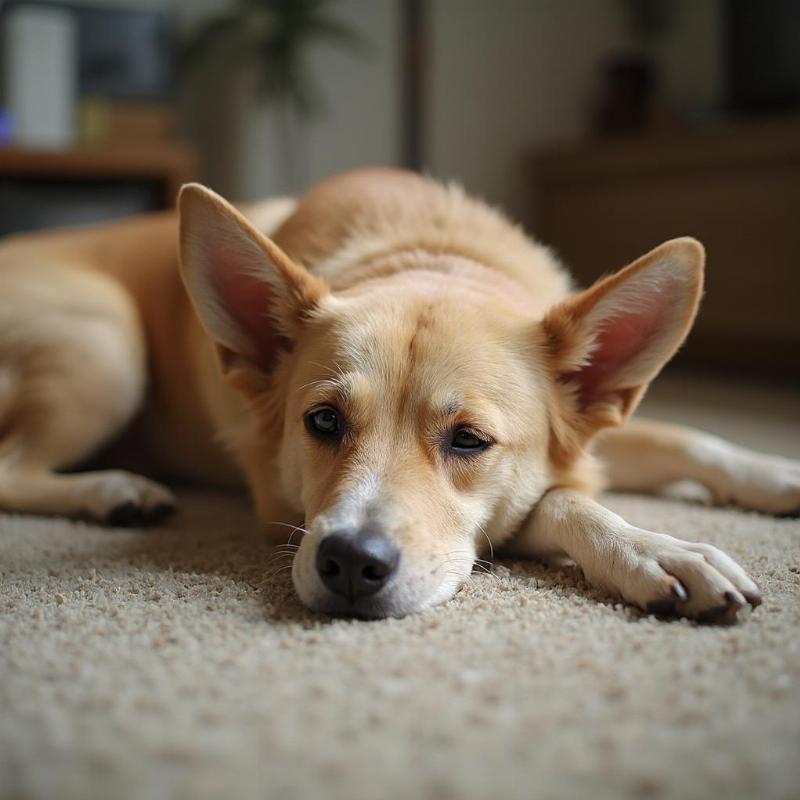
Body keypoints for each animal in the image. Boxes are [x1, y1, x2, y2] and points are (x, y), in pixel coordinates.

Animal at [1, 167, 800, 620]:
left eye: (470, 440)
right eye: (323, 421)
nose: (351, 564)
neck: (428, 252)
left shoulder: (593, 438)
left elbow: (695, 440)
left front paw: (775, 476)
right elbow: (555, 502)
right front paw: (656, 552)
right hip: (107, 343)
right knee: (12, 466)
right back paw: (113, 489)